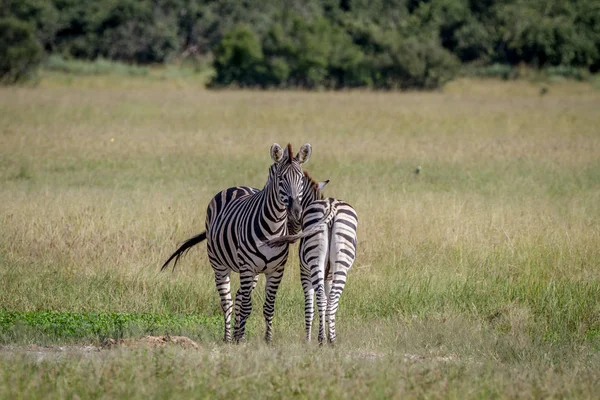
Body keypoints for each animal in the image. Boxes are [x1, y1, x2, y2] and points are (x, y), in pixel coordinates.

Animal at [164, 144, 314, 344]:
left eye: (301, 179)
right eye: (281, 178)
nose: (297, 212)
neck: (273, 227)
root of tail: (236, 187)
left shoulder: (276, 270)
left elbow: (269, 306)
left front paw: (267, 340)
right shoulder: (247, 267)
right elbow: (247, 306)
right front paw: (241, 338)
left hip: (254, 272)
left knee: (239, 296)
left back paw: (236, 333)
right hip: (220, 265)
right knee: (228, 302)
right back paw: (229, 337)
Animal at [264, 174, 356, 344]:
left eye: (288, 215)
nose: (290, 233)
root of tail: (331, 205)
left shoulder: (305, 272)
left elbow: (309, 308)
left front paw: (307, 339)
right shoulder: (329, 276)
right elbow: (325, 302)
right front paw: (326, 332)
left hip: (315, 263)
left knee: (321, 299)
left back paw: (322, 339)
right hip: (338, 262)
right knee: (331, 299)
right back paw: (331, 340)